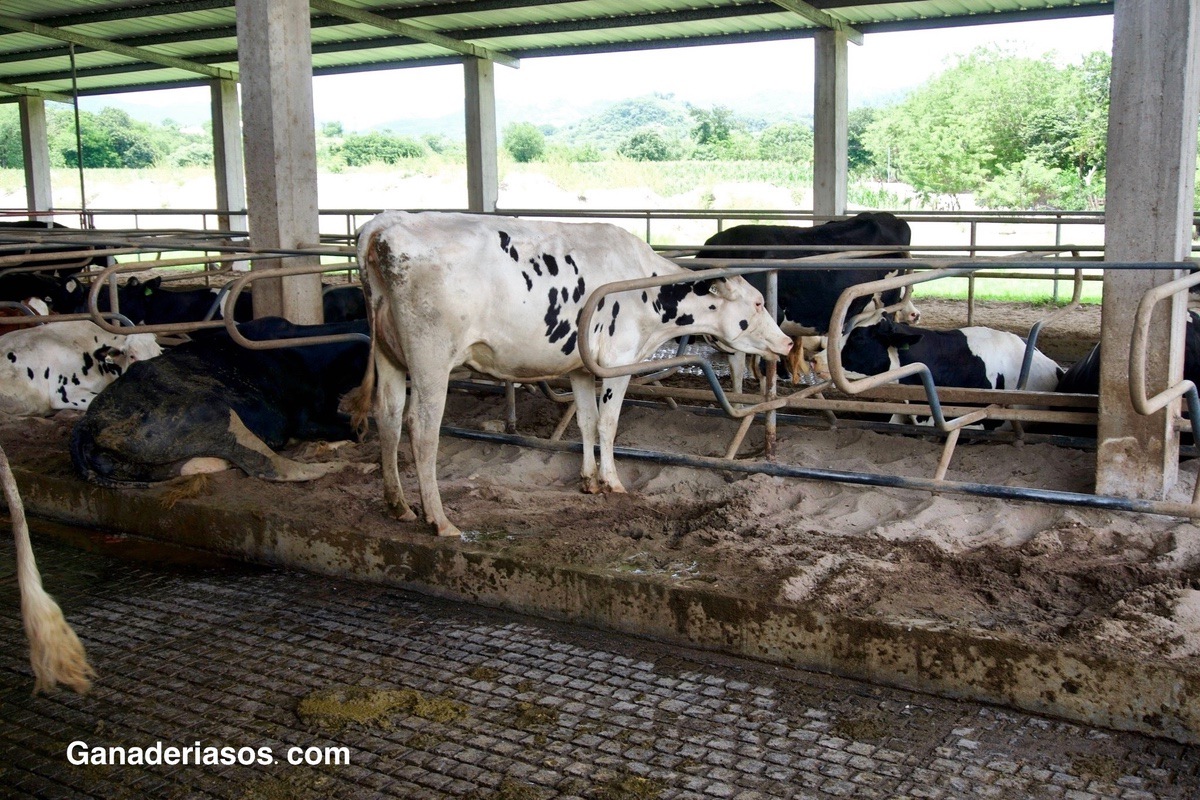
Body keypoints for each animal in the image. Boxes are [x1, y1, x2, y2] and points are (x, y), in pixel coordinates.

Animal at [70, 316, 369, 484]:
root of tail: (87, 422)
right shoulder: (305, 418)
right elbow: (358, 429)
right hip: (213, 411)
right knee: (272, 467)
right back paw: (348, 464)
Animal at [350, 211, 792, 537]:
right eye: (757, 302)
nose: (787, 342)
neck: (647, 285)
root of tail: (386, 223)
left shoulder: (580, 367)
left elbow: (586, 421)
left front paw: (589, 480)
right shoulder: (617, 361)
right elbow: (609, 423)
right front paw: (612, 482)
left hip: (390, 355)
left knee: (388, 416)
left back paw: (398, 505)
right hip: (431, 358)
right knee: (422, 429)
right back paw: (439, 520)